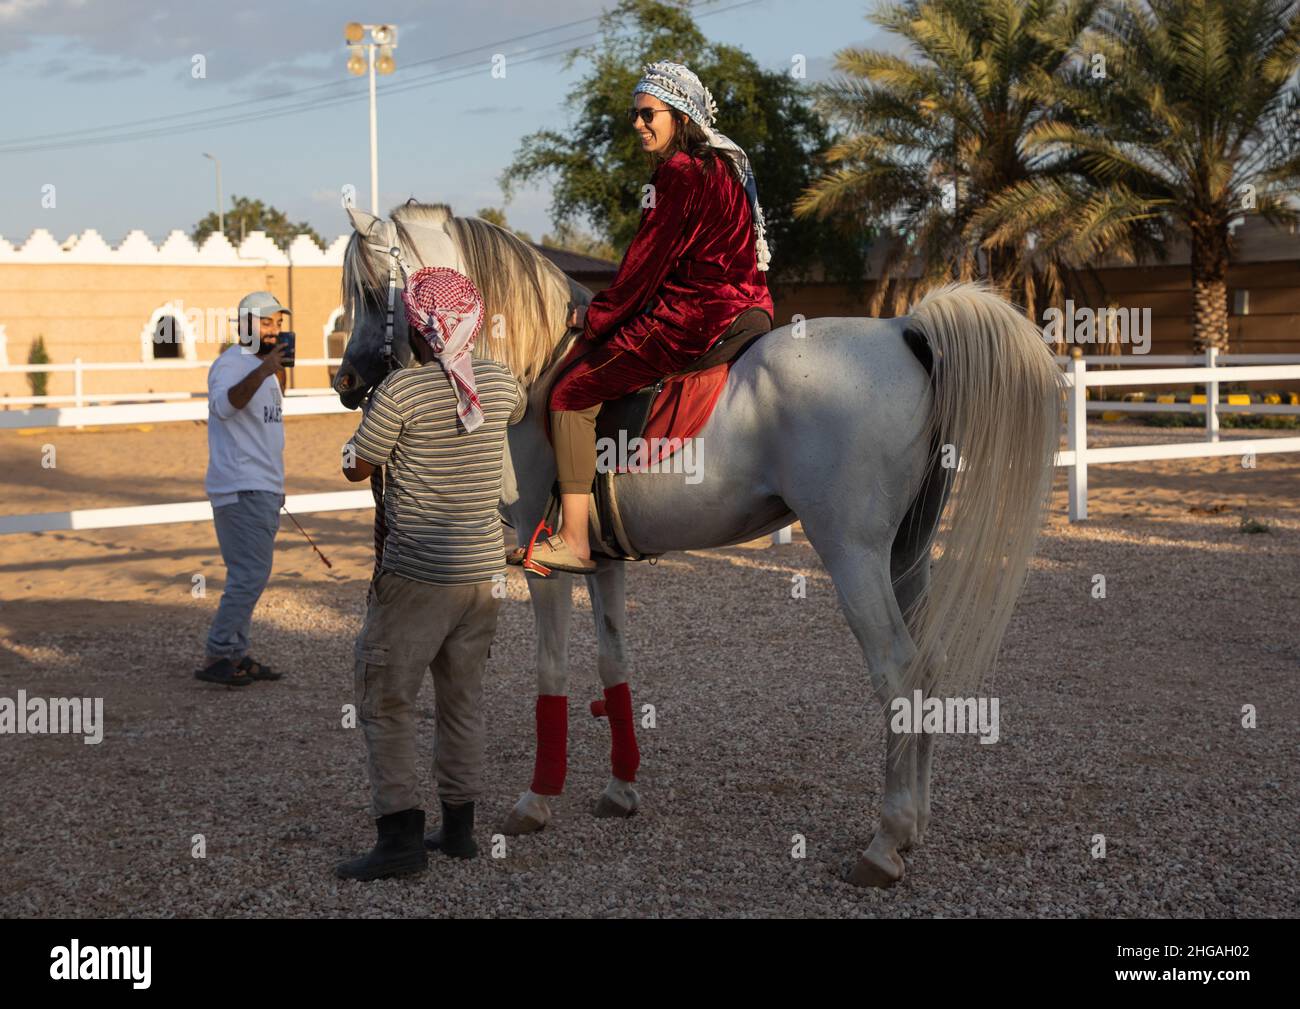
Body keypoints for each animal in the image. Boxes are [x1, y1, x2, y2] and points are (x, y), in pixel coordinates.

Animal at [335, 201, 1066, 889]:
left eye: (372, 291)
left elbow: (552, 672)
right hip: (905, 554)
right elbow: (613, 663)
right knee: (928, 666)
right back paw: (913, 827)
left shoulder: (545, 568)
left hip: (854, 554)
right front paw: (620, 790)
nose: (346, 382)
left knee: (899, 670)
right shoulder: (602, 563)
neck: (535, 371)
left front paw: (536, 802)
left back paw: (884, 844)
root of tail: (902, 330)